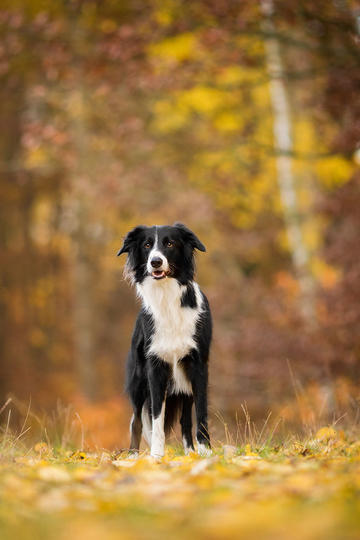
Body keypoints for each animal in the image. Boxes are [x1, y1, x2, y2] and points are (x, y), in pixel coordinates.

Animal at [118, 221, 211, 458]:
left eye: (170, 244)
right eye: (147, 245)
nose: (155, 261)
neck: (167, 298)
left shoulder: (198, 366)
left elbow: (201, 413)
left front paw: (206, 452)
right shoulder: (155, 368)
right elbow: (157, 418)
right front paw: (156, 455)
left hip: (184, 385)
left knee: (185, 421)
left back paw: (190, 452)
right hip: (138, 381)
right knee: (136, 420)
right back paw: (133, 455)